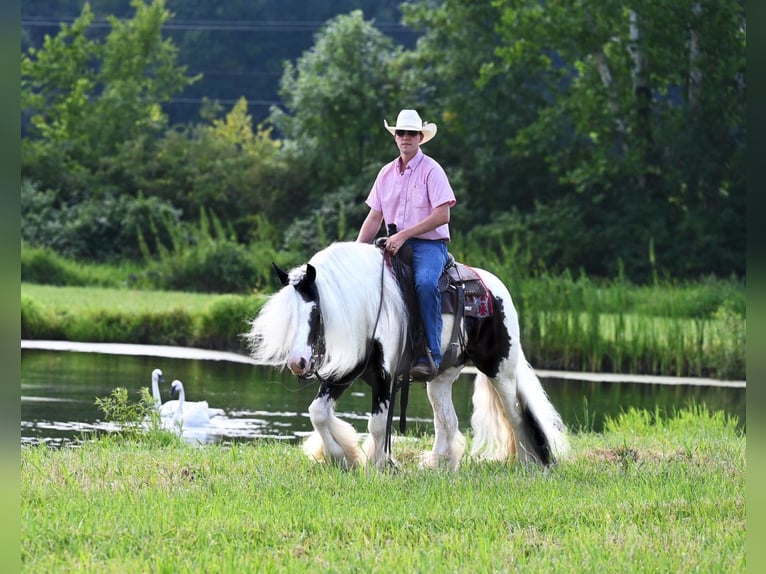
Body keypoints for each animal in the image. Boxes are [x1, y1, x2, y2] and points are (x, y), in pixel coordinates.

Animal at [246, 241, 568, 470]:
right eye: (290, 312)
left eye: (315, 310)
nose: (297, 363)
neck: (367, 306)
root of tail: (496, 288)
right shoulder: (346, 372)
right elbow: (318, 413)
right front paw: (342, 457)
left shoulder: (385, 377)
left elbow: (378, 424)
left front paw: (377, 465)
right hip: (441, 378)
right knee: (447, 420)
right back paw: (439, 464)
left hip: (500, 370)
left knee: (515, 414)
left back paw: (529, 463)